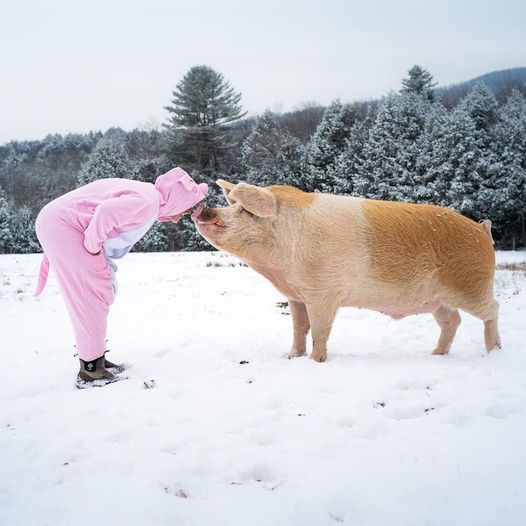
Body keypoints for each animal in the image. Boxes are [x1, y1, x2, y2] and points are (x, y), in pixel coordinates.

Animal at [194, 182, 504, 364]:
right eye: (233, 205)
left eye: (246, 211)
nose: (205, 210)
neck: (280, 269)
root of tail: (482, 231)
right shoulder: (296, 296)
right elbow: (298, 328)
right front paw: (291, 357)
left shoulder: (322, 293)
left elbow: (319, 330)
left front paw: (316, 361)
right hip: (439, 300)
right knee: (452, 321)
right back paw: (436, 355)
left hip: (472, 284)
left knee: (492, 309)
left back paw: (493, 352)